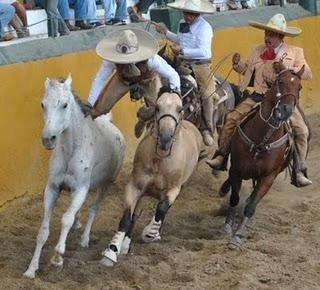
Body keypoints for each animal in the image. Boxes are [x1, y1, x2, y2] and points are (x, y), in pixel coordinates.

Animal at [23, 75, 125, 278]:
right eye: (43, 104)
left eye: (64, 105)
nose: (48, 139)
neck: (71, 151)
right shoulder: (53, 188)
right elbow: (43, 231)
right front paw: (31, 270)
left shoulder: (81, 190)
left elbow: (66, 219)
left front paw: (57, 259)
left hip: (107, 185)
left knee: (93, 208)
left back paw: (84, 239)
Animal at [100, 86, 202, 266]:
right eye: (157, 107)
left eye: (179, 109)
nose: (165, 139)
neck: (160, 160)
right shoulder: (135, 186)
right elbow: (127, 218)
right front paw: (112, 252)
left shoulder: (173, 189)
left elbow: (162, 207)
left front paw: (150, 233)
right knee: (135, 215)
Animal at [219, 60, 304, 247]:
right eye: (280, 81)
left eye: (299, 87)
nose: (286, 110)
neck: (262, 139)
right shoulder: (236, 169)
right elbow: (234, 198)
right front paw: (227, 226)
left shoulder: (268, 177)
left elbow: (251, 206)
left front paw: (238, 236)